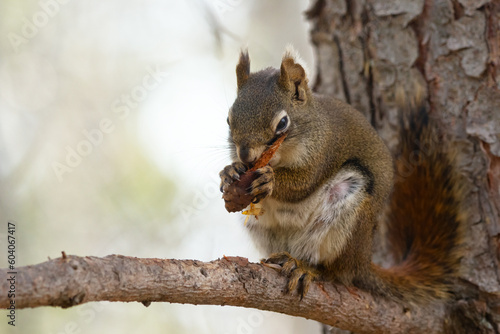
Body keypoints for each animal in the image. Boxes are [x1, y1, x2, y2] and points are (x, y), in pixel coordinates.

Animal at [219, 47, 464, 302]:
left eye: (283, 122)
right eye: (228, 119)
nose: (246, 156)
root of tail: (363, 262)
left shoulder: (324, 151)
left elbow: (304, 183)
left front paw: (270, 180)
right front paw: (229, 172)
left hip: (347, 217)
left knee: (336, 271)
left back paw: (306, 267)